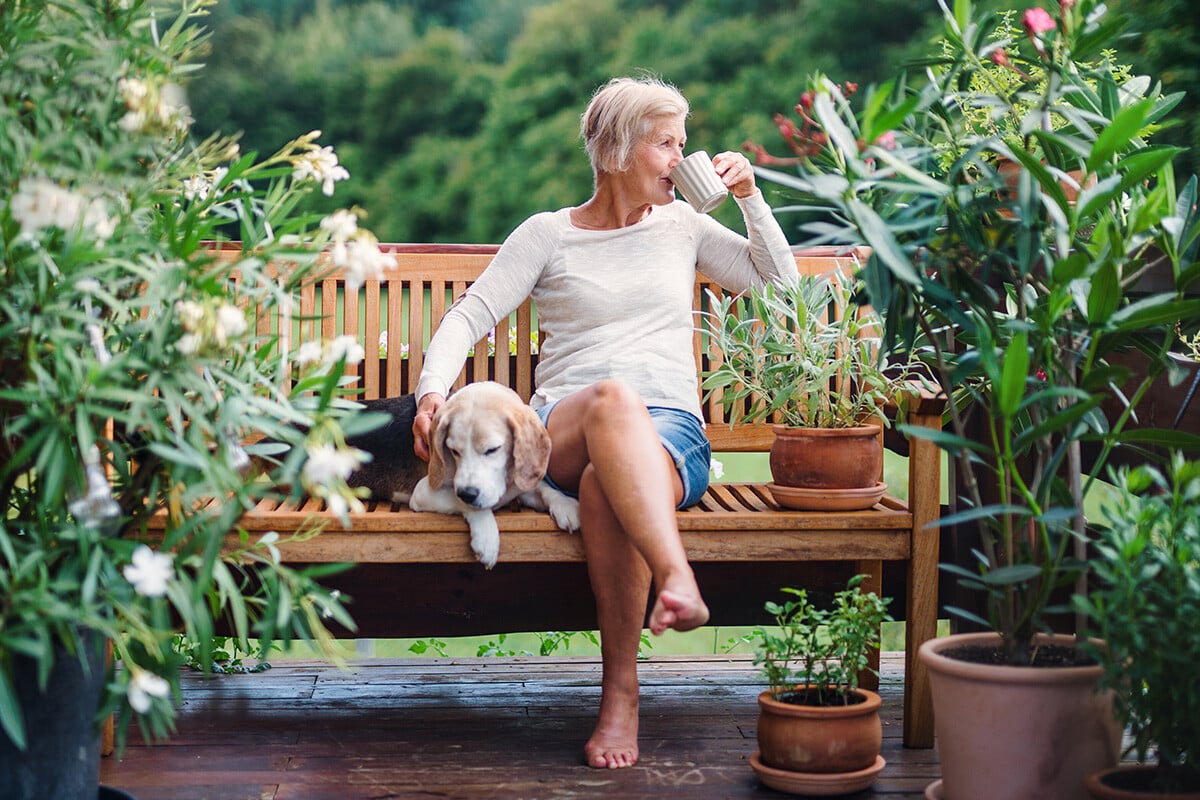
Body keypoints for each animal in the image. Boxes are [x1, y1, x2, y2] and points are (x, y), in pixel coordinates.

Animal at [408, 381, 580, 568]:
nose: (467, 493)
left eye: (493, 449)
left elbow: (545, 489)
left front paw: (565, 504)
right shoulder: (422, 492)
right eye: (454, 451)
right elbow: (462, 501)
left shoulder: (519, 488)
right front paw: (486, 539)